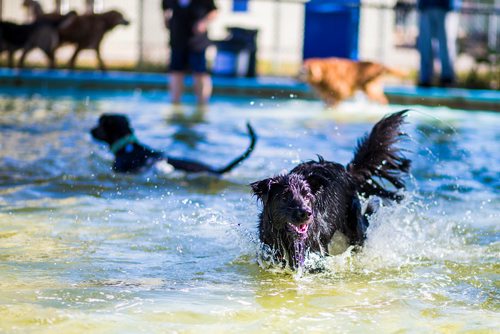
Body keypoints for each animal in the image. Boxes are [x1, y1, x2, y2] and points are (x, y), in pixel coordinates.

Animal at [250, 111, 410, 270]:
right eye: (285, 197)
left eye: (307, 196)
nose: (306, 213)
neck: (287, 238)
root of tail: (347, 172)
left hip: (355, 227)